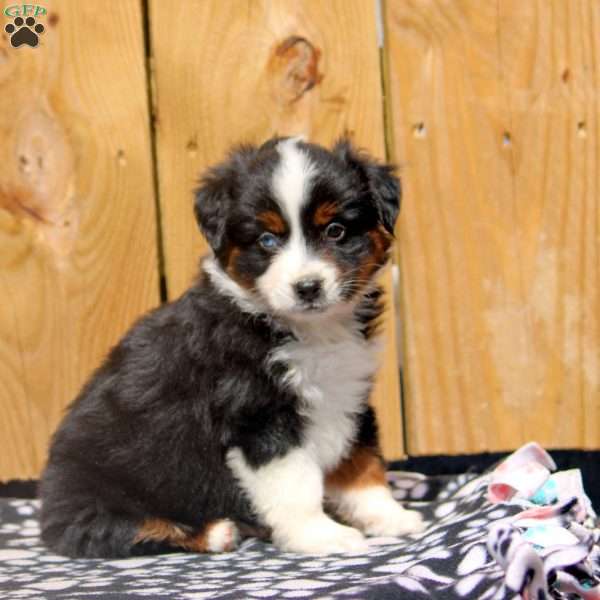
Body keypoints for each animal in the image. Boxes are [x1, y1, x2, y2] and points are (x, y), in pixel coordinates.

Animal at [39, 136, 424, 556]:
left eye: (336, 231)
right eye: (267, 240)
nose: (307, 288)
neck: (308, 329)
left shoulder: (348, 395)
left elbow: (363, 463)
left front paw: (389, 516)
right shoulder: (259, 416)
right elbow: (296, 485)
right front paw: (321, 536)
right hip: (95, 492)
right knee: (118, 530)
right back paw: (215, 532)